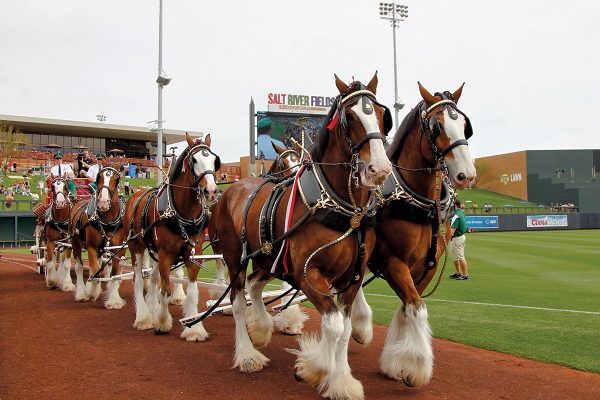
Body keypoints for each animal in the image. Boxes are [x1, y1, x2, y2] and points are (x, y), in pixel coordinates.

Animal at [69, 166, 127, 310]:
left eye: (116, 180)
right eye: (98, 178)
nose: (102, 203)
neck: (107, 221)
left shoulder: (116, 249)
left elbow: (114, 274)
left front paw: (114, 300)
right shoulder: (91, 247)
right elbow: (95, 271)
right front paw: (92, 291)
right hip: (75, 243)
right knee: (79, 267)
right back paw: (81, 293)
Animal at [124, 132, 220, 340]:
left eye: (214, 160)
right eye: (194, 160)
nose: (210, 190)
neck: (182, 213)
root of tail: (135, 195)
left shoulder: (193, 255)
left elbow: (192, 292)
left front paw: (194, 329)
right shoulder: (166, 255)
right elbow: (165, 290)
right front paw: (161, 322)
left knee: (152, 278)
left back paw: (151, 307)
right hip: (137, 247)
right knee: (138, 280)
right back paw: (143, 317)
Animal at [212, 73, 394, 398]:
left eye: (382, 115)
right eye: (350, 116)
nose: (379, 169)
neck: (343, 209)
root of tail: (232, 188)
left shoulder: (351, 278)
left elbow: (345, 328)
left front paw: (341, 381)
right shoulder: (308, 274)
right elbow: (333, 326)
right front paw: (314, 368)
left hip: (269, 259)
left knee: (254, 286)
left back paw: (260, 328)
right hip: (235, 258)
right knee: (237, 301)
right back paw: (247, 354)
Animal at [352, 82, 474, 388]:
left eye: (465, 125)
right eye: (437, 126)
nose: (466, 175)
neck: (419, 202)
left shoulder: (425, 267)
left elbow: (408, 306)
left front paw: (396, 363)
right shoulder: (393, 262)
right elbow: (417, 307)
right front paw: (416, 368)